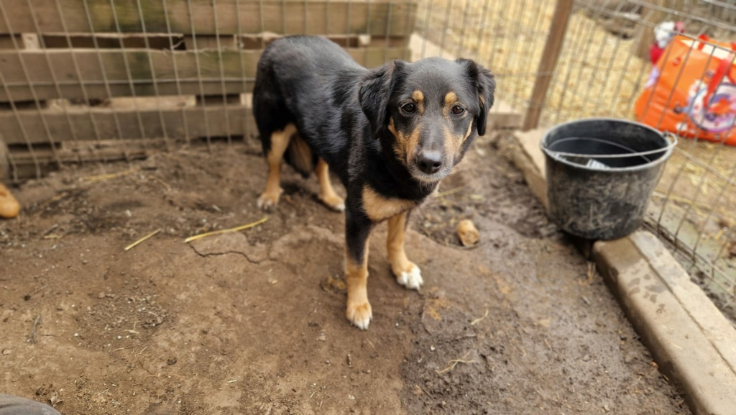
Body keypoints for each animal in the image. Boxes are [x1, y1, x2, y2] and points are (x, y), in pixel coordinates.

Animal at [253, 36, 495, 330]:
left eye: (458, 109)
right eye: (407, 107)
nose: (429, 163)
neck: (388, 154)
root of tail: (280, 39)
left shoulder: (405, 207)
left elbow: (396, 240)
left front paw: (402, 268)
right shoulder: (357, 219)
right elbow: (358, 267)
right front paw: (358, 306)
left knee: (321, 163)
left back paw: (330, 197)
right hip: (274, 129)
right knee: (274, 164)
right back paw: (270, 195)